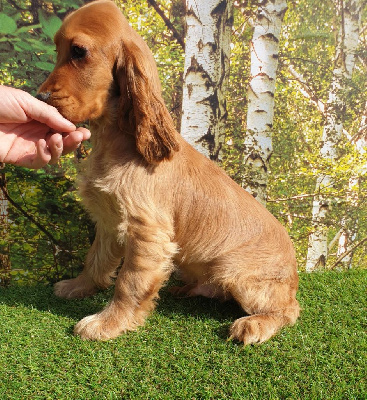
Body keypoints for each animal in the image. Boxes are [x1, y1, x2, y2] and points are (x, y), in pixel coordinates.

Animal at [38, 0, 302, 344]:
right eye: (58, 49)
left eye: (79, 52)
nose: (40, 97)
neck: (115, 140)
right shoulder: (109, 222)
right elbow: (95, 259)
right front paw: (76, 287)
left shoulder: (147, 232)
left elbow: (128, 282)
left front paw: (108, 323)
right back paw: (186, 289)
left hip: (235, 271)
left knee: (289, 309)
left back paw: (254, 324)